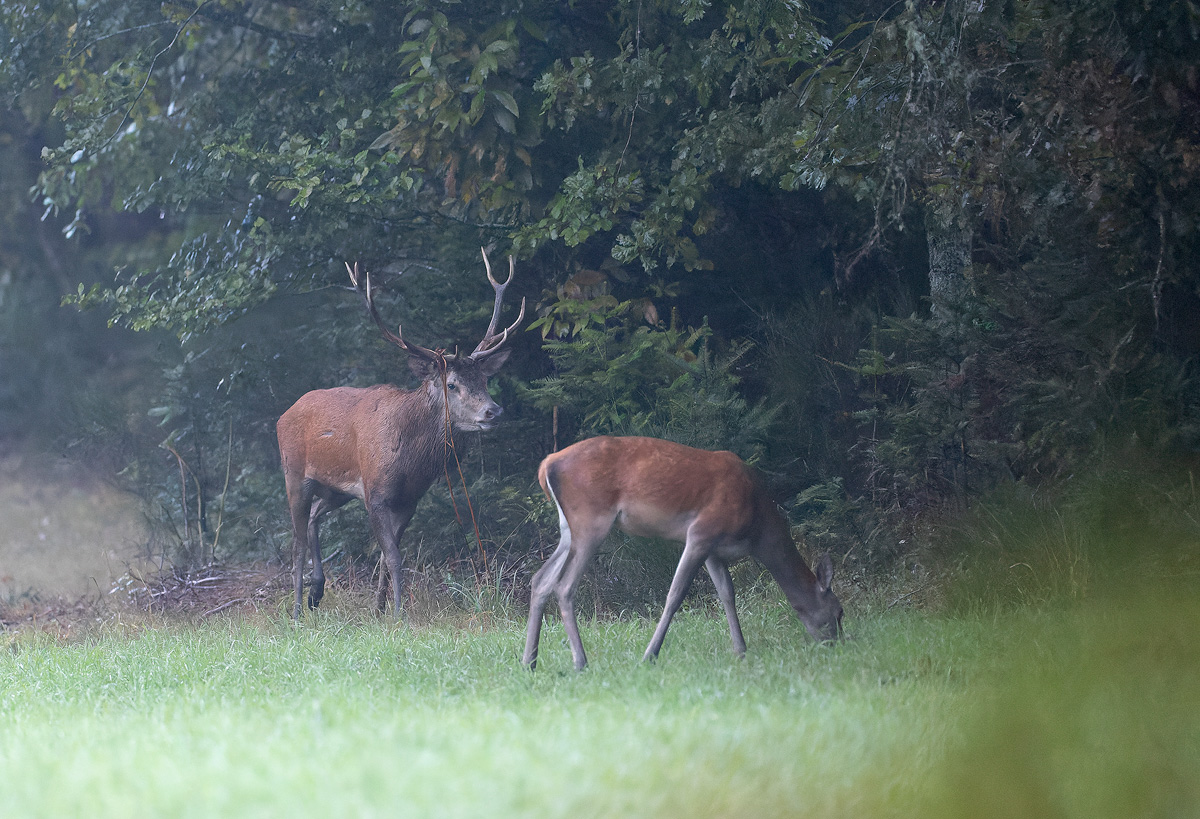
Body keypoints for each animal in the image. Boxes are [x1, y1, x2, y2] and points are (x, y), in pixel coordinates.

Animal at [277, 250, 524, 620]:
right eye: (452, 385)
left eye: (484, 379)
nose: (493, 411)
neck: (412, 461)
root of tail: (284, 414)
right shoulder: (376, 492)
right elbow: (393, 556)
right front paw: (397, 614)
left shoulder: (408, 499)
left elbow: (384, 557)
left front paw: (379, 610)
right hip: (294, 475)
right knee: (296, 546)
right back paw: (296, 612)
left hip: (337, 489)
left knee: (315, 516)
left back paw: (317, 592)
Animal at [523, 436, 843, 670]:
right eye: (839, 612)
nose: (836, 645)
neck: (758, 527)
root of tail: (546, 464)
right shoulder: (701, 532)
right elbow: (675, 594)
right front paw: (649, 655)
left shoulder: (714, 549)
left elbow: (727, 593)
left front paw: (740, 651)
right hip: (591, 519)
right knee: (564, 586)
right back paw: (580, 662)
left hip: (569, 528)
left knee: (541, 580)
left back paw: (530, 661)